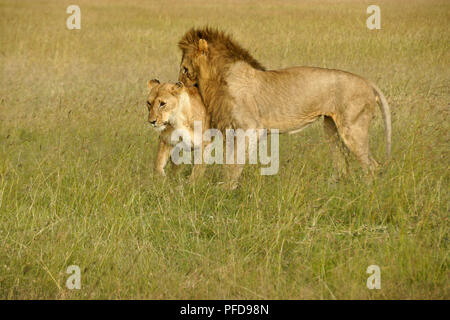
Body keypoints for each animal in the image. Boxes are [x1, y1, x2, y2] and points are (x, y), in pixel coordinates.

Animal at [178, 27, 392, 189]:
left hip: (353, 128)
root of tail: (368, 82)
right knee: (343, 164)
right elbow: (228, 161)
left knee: (371, 166)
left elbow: (233, 163)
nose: (178, 83)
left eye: (184, 69)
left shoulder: (251, 128)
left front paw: (226, 191)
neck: (217, 79)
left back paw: (365, 195)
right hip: (331, 128)